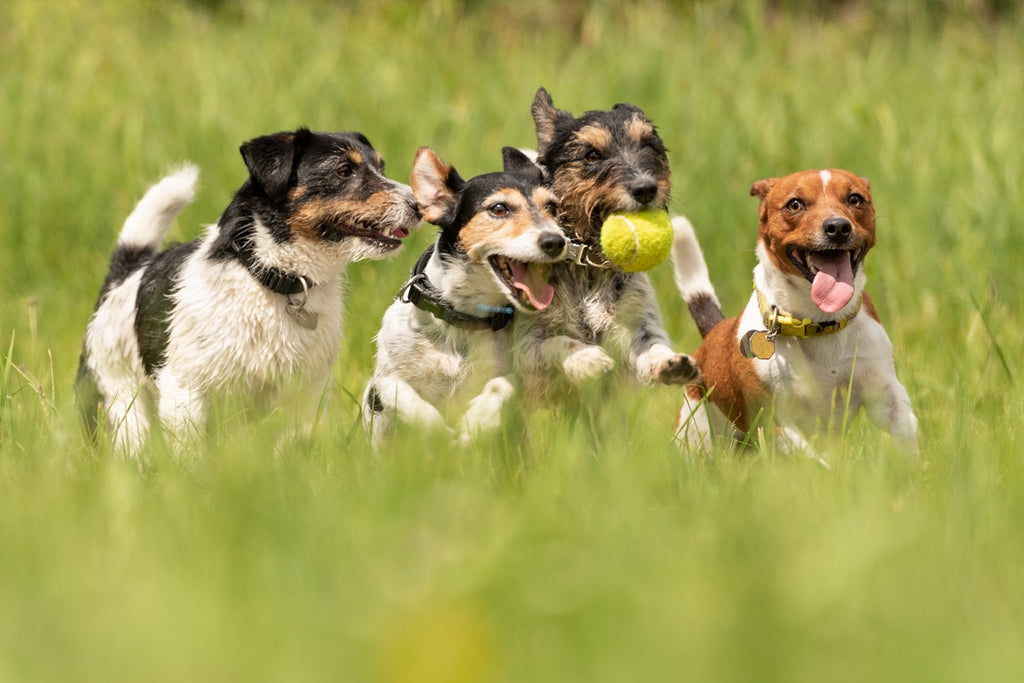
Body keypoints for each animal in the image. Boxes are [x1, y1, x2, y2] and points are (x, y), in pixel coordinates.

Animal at [74, 130, 419, 456]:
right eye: (344, 170)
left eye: (381, 166)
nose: (417, 205)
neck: (271, 279)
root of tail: (122, 278)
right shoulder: (185, 391)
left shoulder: (306, 393)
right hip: (122, 404)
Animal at [362, 145, 569, 446]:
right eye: (499, 208)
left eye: (552, 207)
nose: (555, 241)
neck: (463, 317)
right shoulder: (383, 381)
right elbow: (401, 394)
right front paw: (438, 431)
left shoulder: (518, 371)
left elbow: (503, 385)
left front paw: (476, 422)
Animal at [671, 167, 921, 456]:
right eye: (794, 204)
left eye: (855, 199)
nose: (838, 227)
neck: (819, 323)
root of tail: (713, 332)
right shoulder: (774, 422)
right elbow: (812, 459)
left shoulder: (883, 391)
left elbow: (905, 427)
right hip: (696, 432)